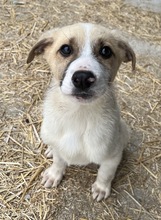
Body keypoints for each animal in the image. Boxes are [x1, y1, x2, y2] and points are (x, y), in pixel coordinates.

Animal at [27, 23, 135, 202]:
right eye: (65, 49)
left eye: (106, 51)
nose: (83, 78)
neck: (78, 114)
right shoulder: (59, 146)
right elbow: (58, 161)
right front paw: (54, 174)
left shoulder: (112, 157)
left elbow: (105, 173)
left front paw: (101, 188)